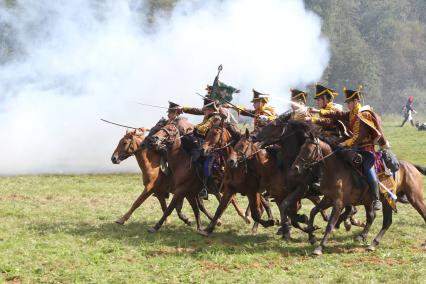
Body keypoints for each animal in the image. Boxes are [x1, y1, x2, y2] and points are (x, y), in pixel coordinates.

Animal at [292, 122, 426, 255]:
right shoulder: (328, 199)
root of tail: (412, 166)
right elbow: (313, 211)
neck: (336, 170)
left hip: (413, 198)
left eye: (308, 149)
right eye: (301, 148)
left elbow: (330, 224)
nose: (295, 168)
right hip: (385, 200)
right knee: (382, 220)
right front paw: (311, 237)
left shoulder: (338, 203)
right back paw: (369, 241)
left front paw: (320, 247)